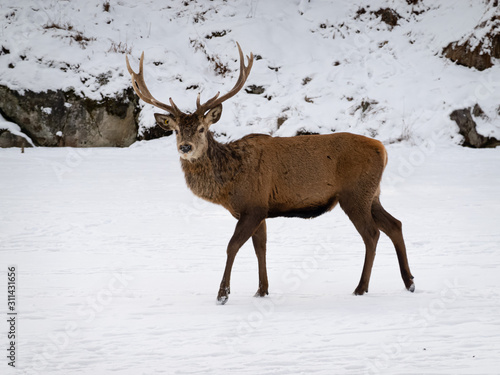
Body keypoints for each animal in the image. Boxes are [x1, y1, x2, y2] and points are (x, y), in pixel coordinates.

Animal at [125, 42, 414, 306]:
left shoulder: (253, 205)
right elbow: (260, 248)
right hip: (372, 194)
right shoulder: (259, 209)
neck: (229, 183)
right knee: (395, 224)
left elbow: (232, 245)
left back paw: (361, 288)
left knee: (372, 234)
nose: (185, 147)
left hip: (355, 194)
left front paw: (223, 294)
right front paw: (261, 290)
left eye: (201, 129)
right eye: (175, 130)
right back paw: (409, 281)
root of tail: (383, 149)